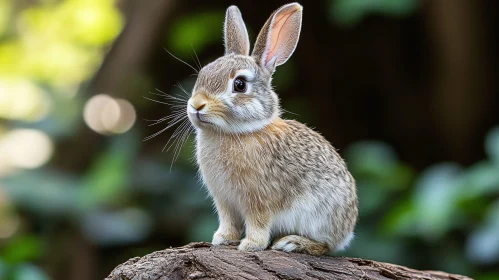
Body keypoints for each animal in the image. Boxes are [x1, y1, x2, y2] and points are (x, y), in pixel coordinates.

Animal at [186, 2, 358, 256]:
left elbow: (258, 223)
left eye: (239, 85)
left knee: (326, 246)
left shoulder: (259, 201)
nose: (197, 105)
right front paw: (222, 239)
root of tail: (347, 231)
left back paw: (292, 243)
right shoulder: (225, 201)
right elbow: (228, 222)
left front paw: (251, 245)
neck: (236, 132)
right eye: (202, 74)